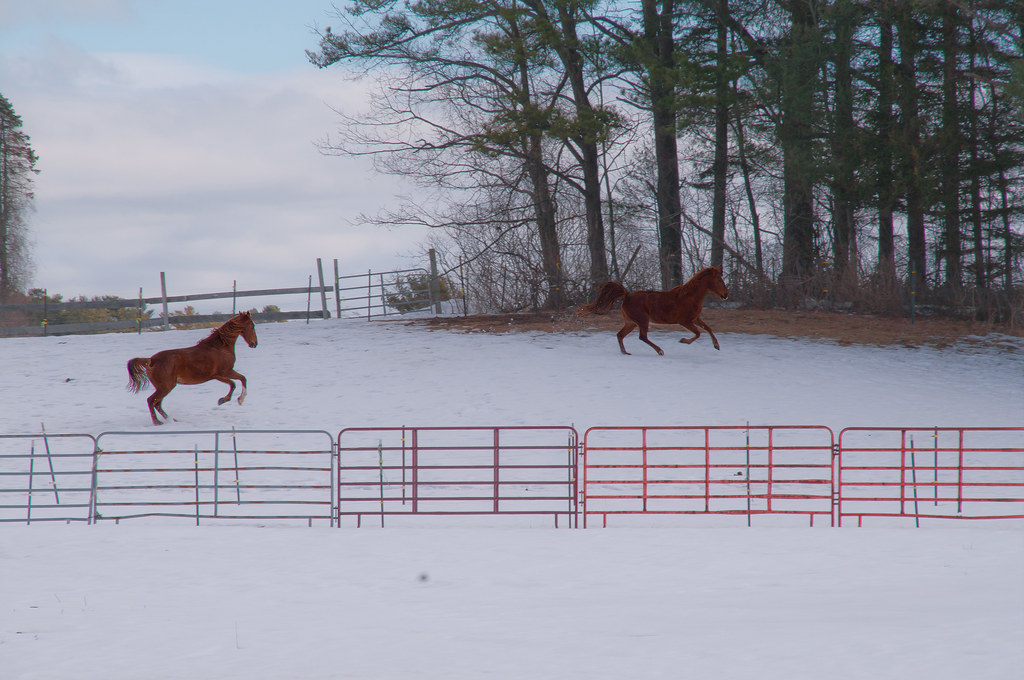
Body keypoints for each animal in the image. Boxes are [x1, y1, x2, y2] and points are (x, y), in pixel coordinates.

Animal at [126, 311, 258, 425]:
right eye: (252, 326)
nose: (254, 344)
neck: (220, 347)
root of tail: (151, 360)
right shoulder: (223, 373)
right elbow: (238, 381)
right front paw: (232, 400)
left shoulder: (219, 375)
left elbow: (238, 381)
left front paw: (227, 400)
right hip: (166, 387)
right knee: (151, 401)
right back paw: (158, 422)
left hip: (164, 387)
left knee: (157, 404)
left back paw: (172, 420)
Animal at [578, 266, 730, 356]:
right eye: (719, 280)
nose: (726, 295)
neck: (690, 297)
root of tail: (626, 296)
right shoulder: (684, 321)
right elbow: (698, 333)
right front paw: (682, 340)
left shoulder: (695, 319)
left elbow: (708, 328)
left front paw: (716, 345)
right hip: (642, 321)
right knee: (642, 337)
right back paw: (660, 351)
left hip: (631, 322)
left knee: (620, 335)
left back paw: (625, 353)